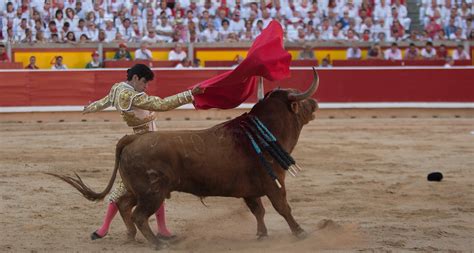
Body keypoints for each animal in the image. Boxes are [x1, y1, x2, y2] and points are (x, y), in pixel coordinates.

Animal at [49, 68, 318, 247]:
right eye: (301, 98)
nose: (315, 103)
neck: (263, 132)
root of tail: (131, 139)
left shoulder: (250, 190)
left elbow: (258, 211)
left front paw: (262, 235)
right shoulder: (274, 183)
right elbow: (283, 208)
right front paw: (300, 232)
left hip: (138, 188)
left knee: (124, 205)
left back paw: (132, 236)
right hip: (152, 191)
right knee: (138, 214)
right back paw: (158, 243)